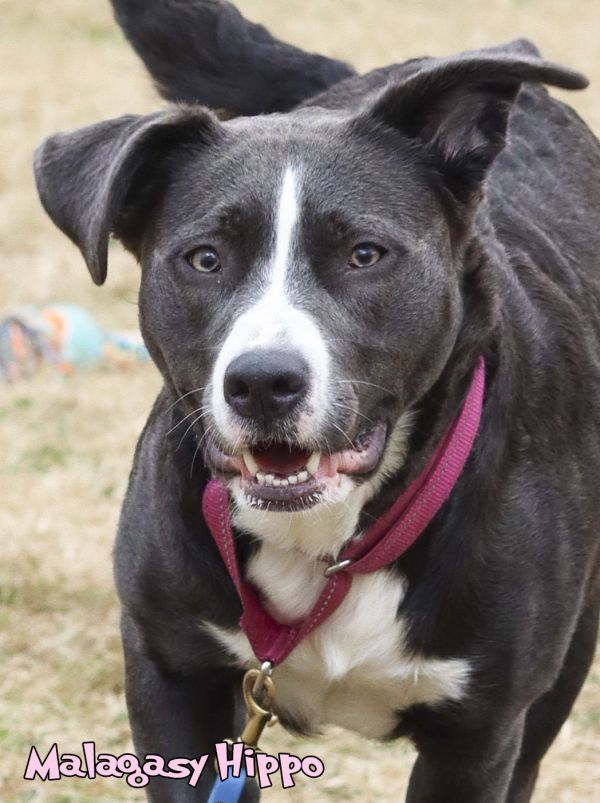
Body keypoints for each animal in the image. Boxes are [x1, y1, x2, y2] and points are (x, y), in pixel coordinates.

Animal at [34, 1, 600, 803]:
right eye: (204, 258)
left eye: (364, 254)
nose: (263, 381)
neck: (324, 545)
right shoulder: (172, 678)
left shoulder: (479, 734)